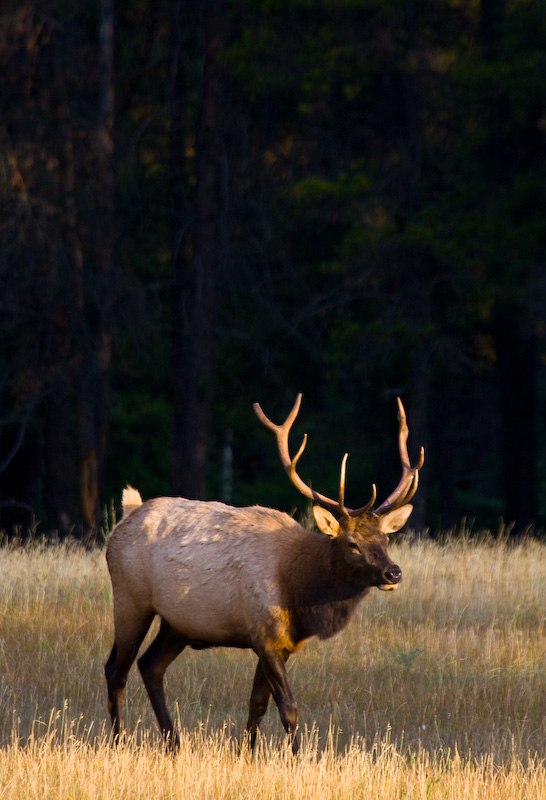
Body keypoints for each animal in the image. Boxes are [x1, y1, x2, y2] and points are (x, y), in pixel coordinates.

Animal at [104, 396, 422, 752]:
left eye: (385, 539)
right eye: (352, 543)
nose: (393, 573)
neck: (298, 590)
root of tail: (128, 513)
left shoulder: (281, 643)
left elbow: (257, 703)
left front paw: (247, 753)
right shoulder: (264, 634)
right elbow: (288, 707)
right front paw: (297, 756)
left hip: (177, 623)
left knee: (150, 666)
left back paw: (174, 743)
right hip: (130, 599)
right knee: (116, 668)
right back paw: (118, 741)